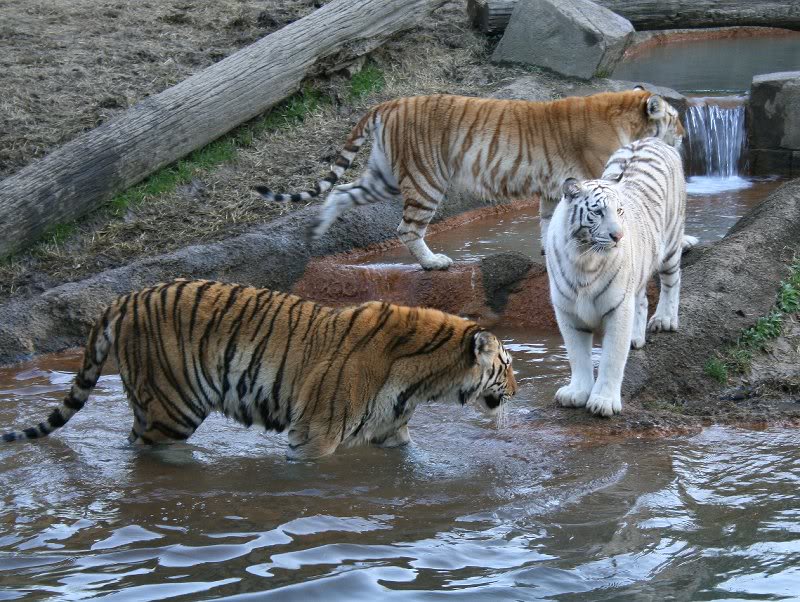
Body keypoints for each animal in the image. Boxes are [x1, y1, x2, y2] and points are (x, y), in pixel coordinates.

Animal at [1, 279, 517, 459]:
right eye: (507, 366)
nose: (516, 389)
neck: (423, 382)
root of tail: (124, 298)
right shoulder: (315, 433)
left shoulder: (391, 433)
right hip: (174, 406)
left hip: (149, 404)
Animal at [254, 88, 685, 270]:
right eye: (677, 119)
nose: (684, 136)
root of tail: (390, 103)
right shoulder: (598, 177)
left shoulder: (556, 191)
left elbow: (550, 225)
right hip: (426, 178)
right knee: (406, 228)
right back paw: (434, 263)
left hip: (384, 175)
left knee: (341, 191)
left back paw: (316, 231)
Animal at [545, 137, 686, 418]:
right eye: (598, 212)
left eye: (620, 211)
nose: (618, 236)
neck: (584, 259)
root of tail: (654, 139)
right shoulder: (567, 311)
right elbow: (577, 355)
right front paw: (576, 392)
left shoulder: (617, 308)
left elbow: (611, 358)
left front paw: (603, 401)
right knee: (642, 299)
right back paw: (636, 336)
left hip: (671, 244)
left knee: (672, 281)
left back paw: (665, 319)